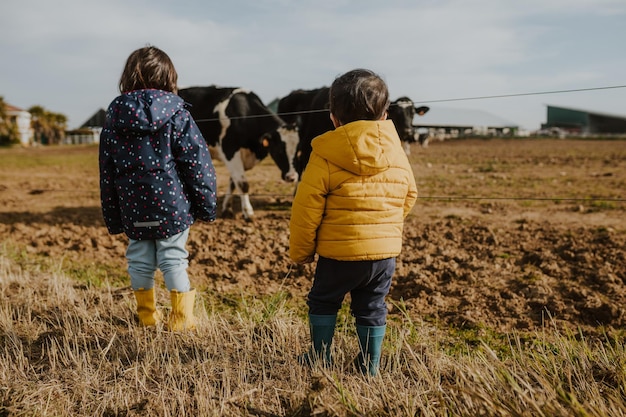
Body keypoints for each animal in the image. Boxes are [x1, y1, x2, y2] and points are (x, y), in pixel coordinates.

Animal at [178, 85, 300, 219]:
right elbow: (243, 184)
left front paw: (227, 208)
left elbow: (233, 182)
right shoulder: (230, 151)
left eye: (297, 151)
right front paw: (248, 213)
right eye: (279, 151)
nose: (292, 177)